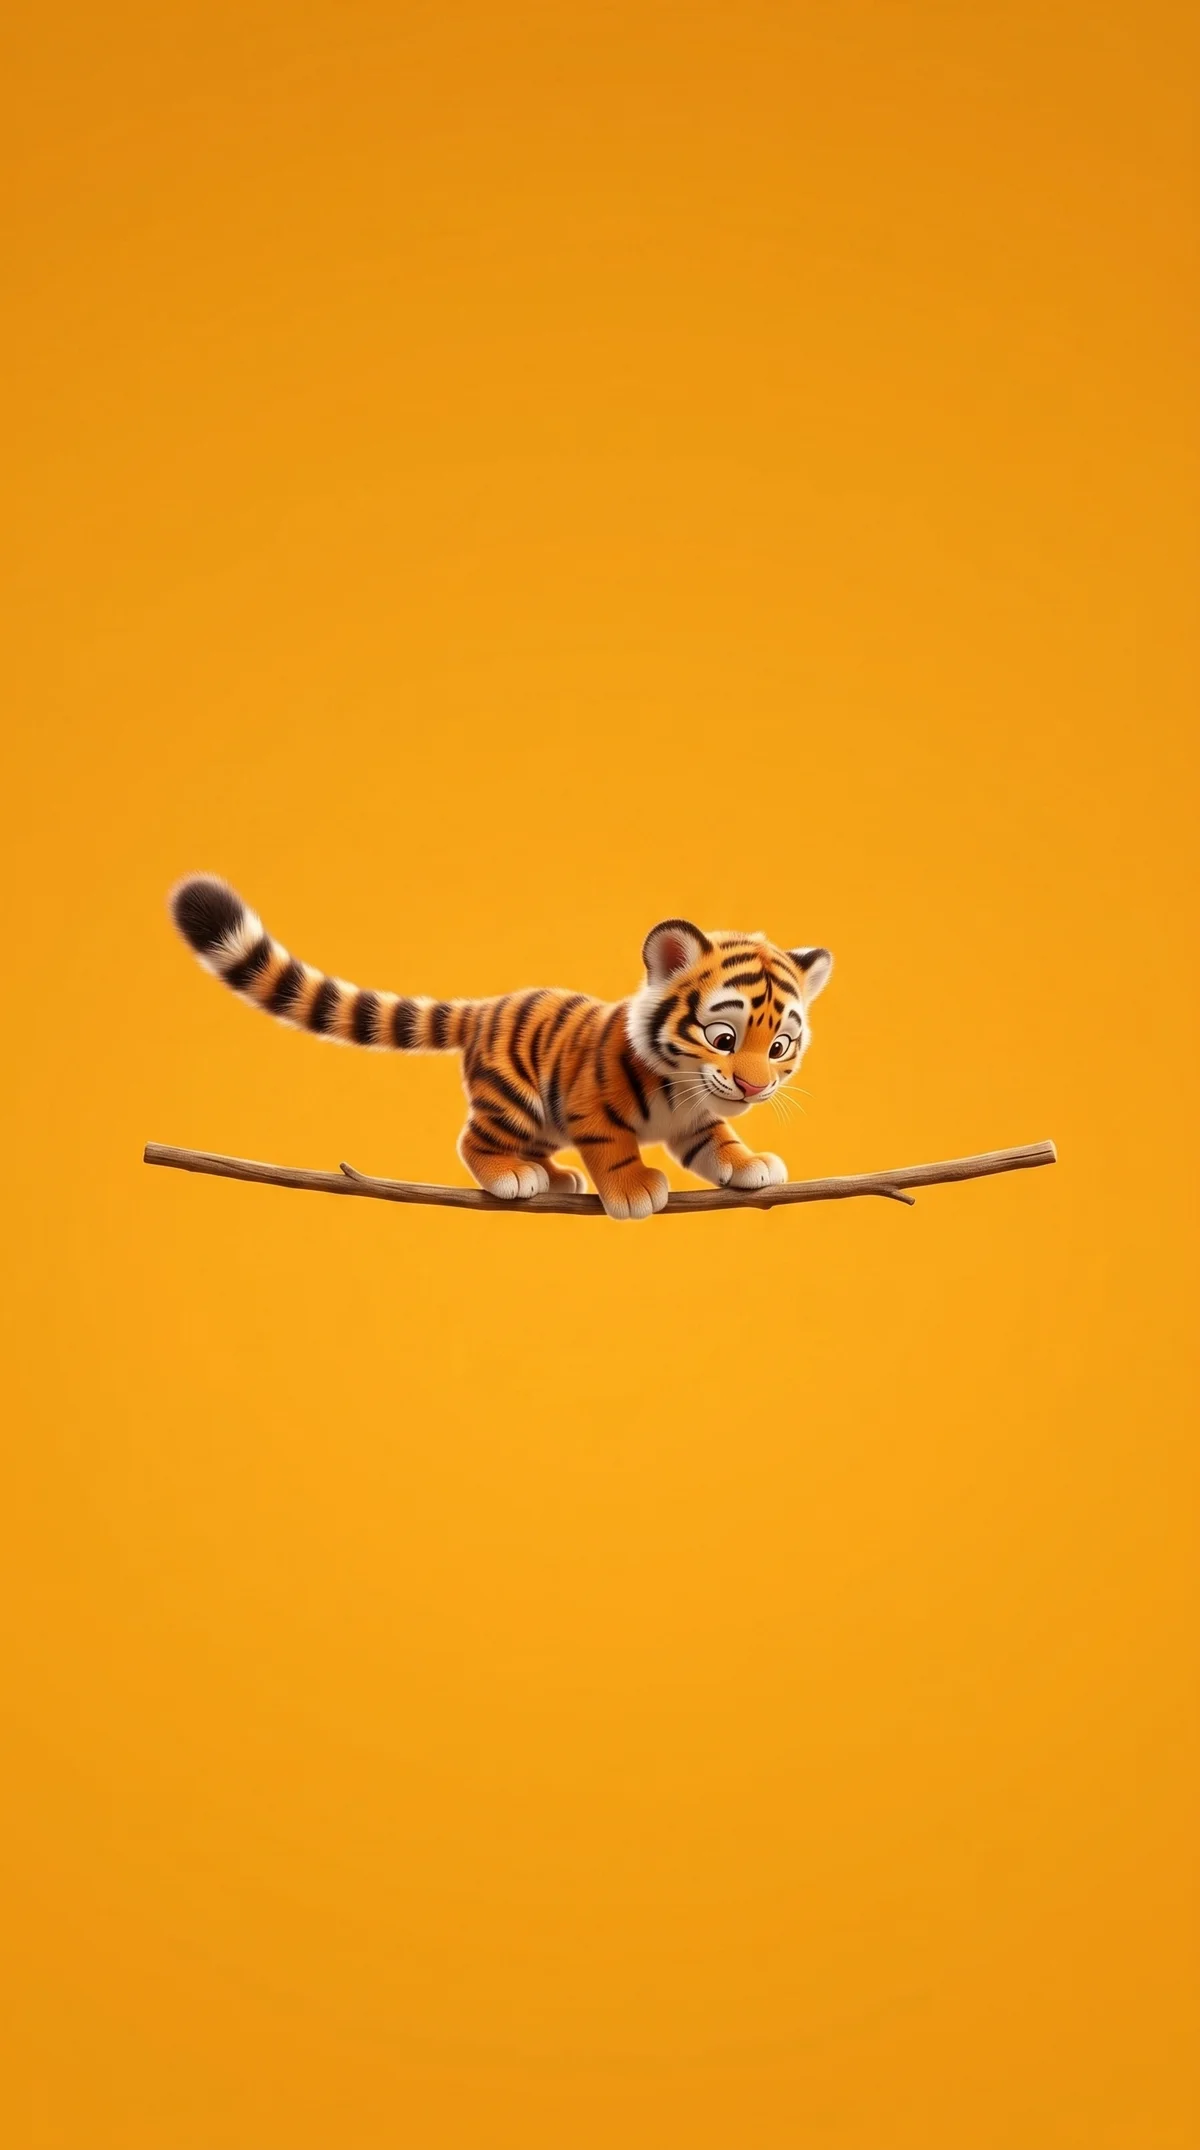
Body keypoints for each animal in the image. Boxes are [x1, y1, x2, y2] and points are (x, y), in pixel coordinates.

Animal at [170, 876, 833, 1220]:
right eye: (723, 1038)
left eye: (780, 1046)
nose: (753, 1086)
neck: (683, 1084)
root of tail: (485, 1007)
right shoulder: (593, 1107)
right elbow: (616, 1149)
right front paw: (635, 1191)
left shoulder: (697, 1119)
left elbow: (720, 1141)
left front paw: (750, 1166)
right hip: (515, 1097)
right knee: (474, 1140)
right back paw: (513, 1177)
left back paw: (552, 1177)